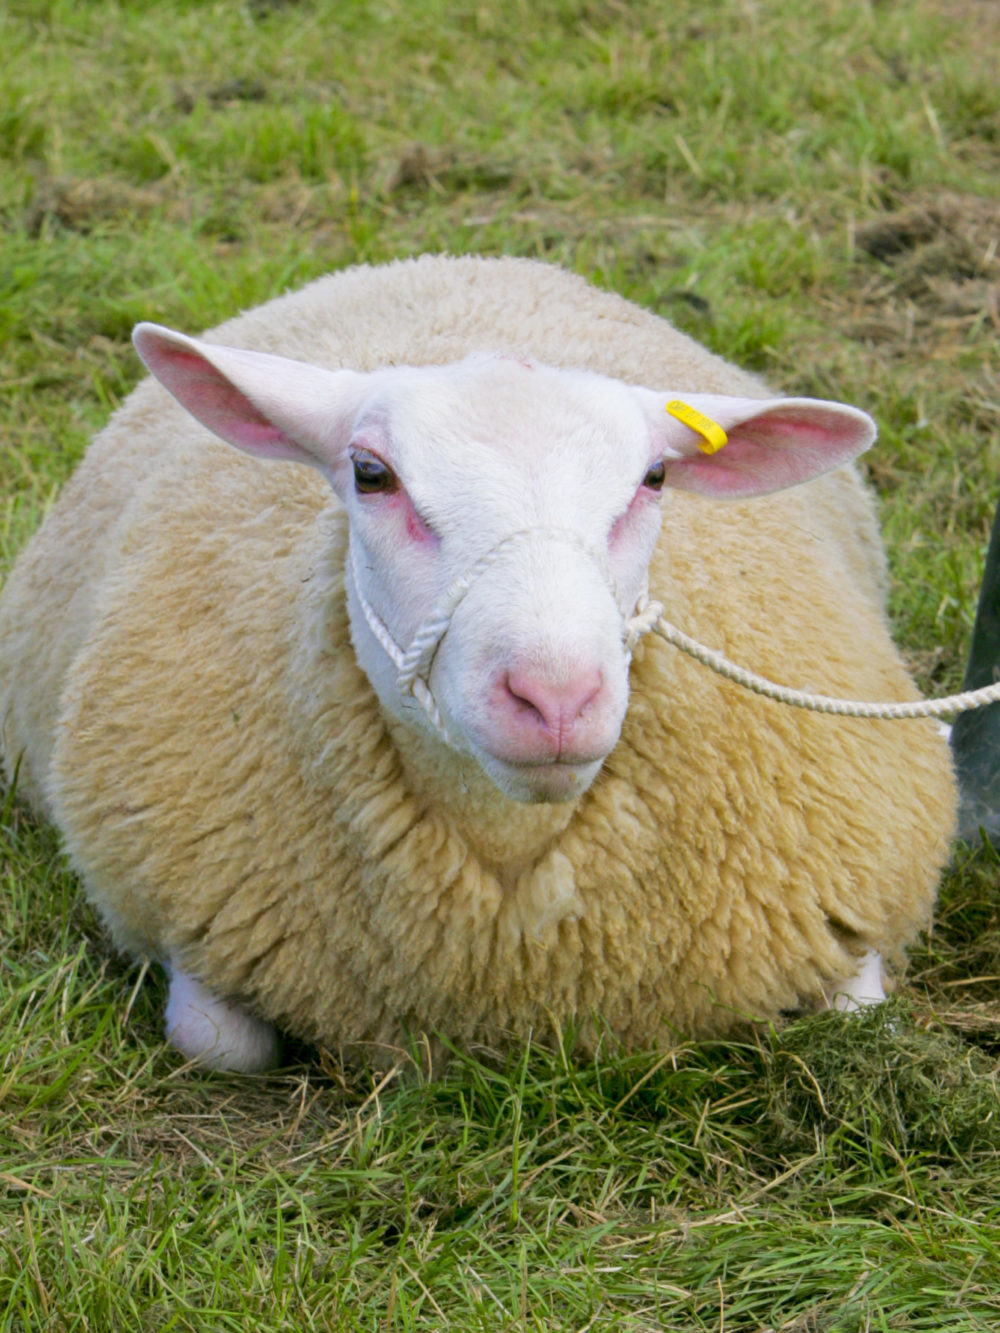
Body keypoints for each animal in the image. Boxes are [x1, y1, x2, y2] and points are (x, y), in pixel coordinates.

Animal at [0, 254, 960, 1071]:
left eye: (654, 478)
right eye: (370, 473)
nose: (556, 696)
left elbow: (862, 1016)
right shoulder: (192, 923)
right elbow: (219, 1044)